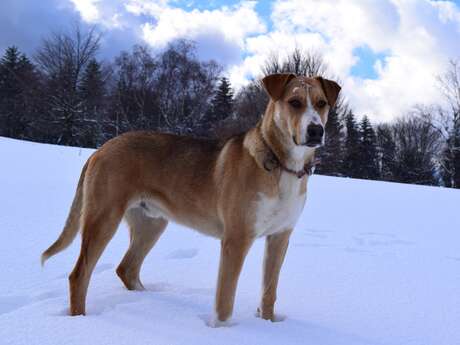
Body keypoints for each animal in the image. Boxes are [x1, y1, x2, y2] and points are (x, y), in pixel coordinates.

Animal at [41, 72, 340, 326]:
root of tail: (100, 149)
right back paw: (80, 321)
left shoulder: (280, 236)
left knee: (127, 268)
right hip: (103, 218)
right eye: (294, 102)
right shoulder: (236, 239)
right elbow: (224, 300)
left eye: (322, 103)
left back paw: (146, 298)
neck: (281, 166)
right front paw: (223, 330)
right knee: (79, 275)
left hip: (151, 223)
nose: (316, 131)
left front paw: (268, 325)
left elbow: (269, 291)